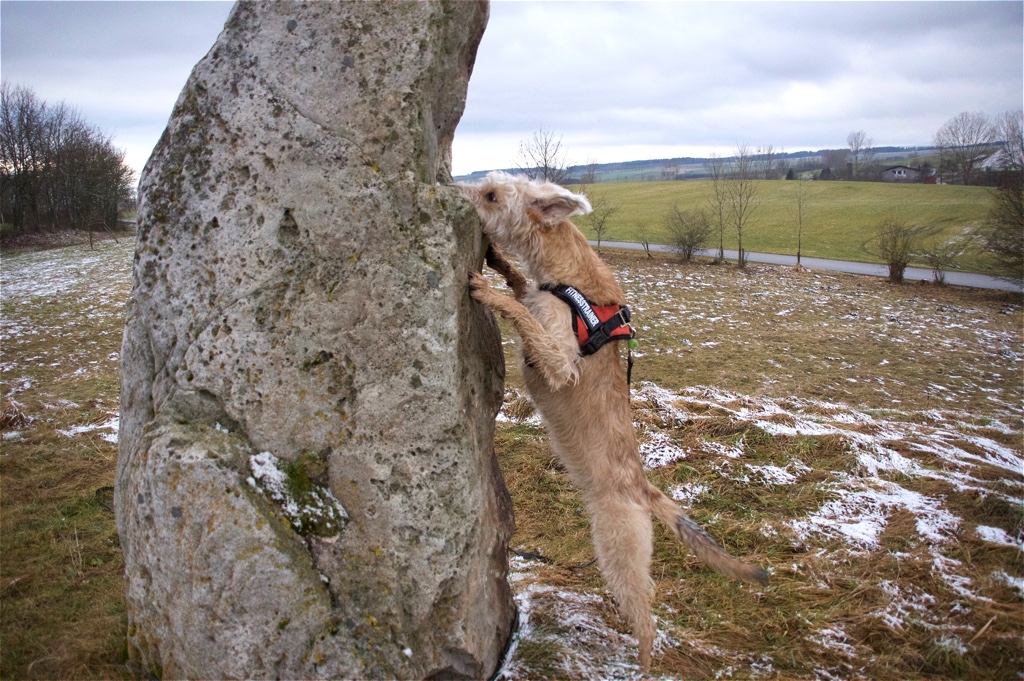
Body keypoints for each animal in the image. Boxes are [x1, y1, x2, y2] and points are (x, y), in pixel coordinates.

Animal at [458, 171, 768, 671]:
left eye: (490, 195)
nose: (456, 190)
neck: (568, 274)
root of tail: (643, 490)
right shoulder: (540, 297)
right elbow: (522, 284)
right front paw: (500, 262)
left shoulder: (560, 359)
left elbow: (523, 313)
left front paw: (489, 291)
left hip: (618, 548)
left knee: (647, 619)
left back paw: (640, 664)